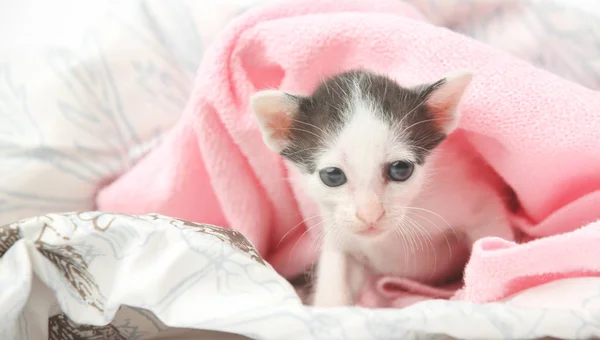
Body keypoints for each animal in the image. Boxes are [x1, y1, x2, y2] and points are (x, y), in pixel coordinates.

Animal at [251, 70, 512, 306]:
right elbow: (335, 270)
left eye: (400, 169)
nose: (370, 215)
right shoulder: (338, 229)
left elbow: (494, 242)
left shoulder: (472, 196)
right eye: (332, 176)